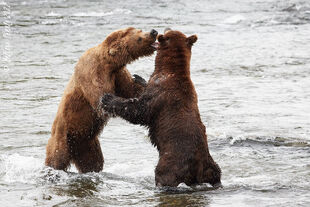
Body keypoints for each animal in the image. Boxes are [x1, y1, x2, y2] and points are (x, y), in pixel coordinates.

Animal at [101, 28, 220, 187]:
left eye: (167, 31)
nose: (156, 31)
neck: (170, 69)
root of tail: (199, 167)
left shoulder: (161, 94)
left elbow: (139, 111)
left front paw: (108, 98)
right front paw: (139, 78)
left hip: (172, 162)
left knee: (163, 174)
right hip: (211, 167)